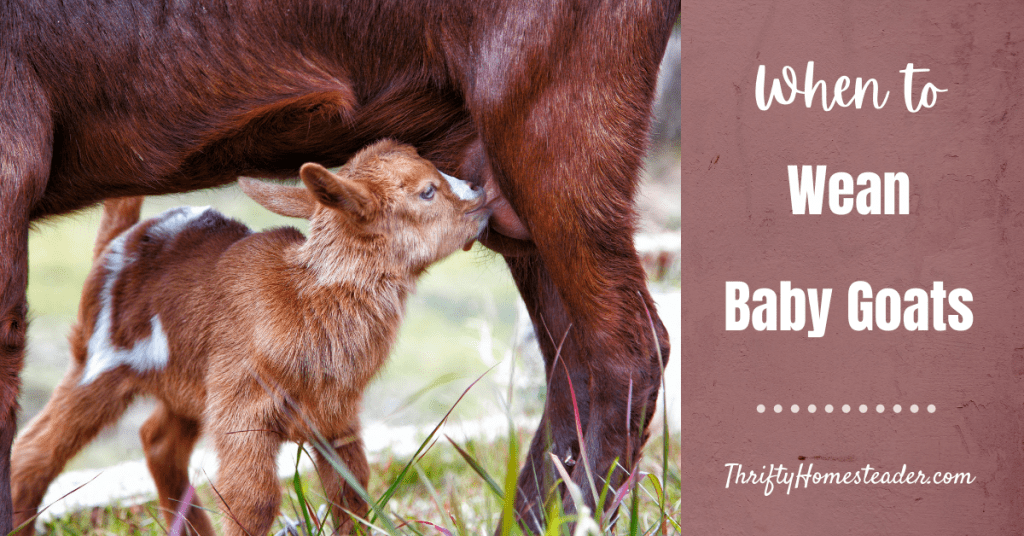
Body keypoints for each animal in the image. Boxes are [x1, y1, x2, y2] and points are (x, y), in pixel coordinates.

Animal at [10, 140, 489, 536]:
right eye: (427, 191)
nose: (480, 191)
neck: (308, 300)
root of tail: (118, 242)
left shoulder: (336, 415)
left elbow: (350, 492)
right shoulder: (243, 411)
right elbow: (253, 502)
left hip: (188, 383)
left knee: (158, 441)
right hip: (99, 362)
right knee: (33, 454)